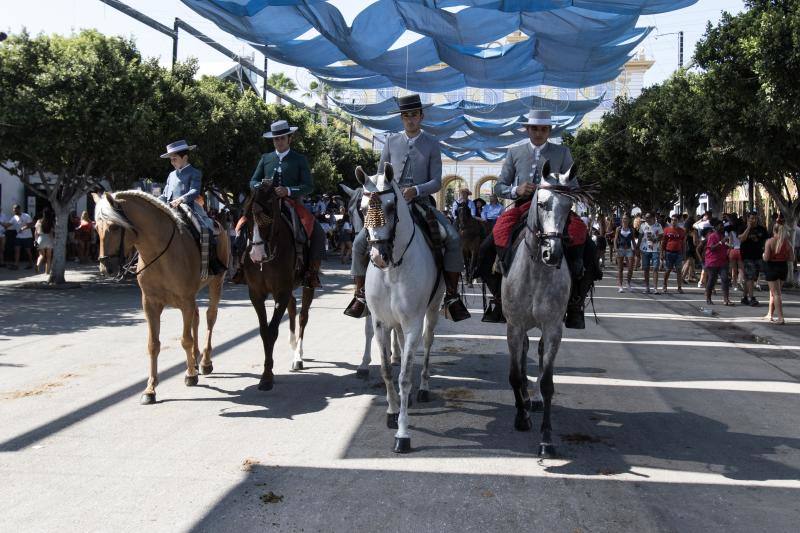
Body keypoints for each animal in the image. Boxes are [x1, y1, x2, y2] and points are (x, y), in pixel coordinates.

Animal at [92, 191, 228, 404]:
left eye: (114, 227)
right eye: (96, 228)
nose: (106, 268)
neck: (160, 254)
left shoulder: (185, 301)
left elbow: (185, 339)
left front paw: (190, 375)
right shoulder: (150, 304)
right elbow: (153, 345)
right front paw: (150, 389)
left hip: (216, 283)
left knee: (210, 318)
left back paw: (204, 362)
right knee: (197, 319)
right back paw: (195, 360)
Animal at [241, 181, 316, 388]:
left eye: (268, 218)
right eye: (247, 218)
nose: (256, 254)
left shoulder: (281, 291)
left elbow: (272, 331)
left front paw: (267, 376)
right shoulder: (256, 294)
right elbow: (263, 330)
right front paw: (266, 374)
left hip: (308, 283)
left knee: (303, 317)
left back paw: (298, 356)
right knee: (292, 308)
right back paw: (292, 344)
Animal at [340, 185, 400, 376]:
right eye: (350, 212)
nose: (368, 249)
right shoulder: (370, 299)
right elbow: (369, 329)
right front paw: (364, 364)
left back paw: (396, 354)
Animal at [356, 163, 444, 454]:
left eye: (392, 206)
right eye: (363, 208)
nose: (377, 256)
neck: (393, 269)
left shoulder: (414, 321)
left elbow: (404, 376)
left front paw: (403, 434)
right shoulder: (380, 322)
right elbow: (385, 369)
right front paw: (393, 412)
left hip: (433, 310)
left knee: (426, 344)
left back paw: (424, 387)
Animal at [504, 163, 584, 458]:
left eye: (569, 206)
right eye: (541, 203)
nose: (553, 253)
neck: (537, 271)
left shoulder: (553, 329)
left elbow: (549, 383)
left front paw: (547, 439)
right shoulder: (514, 326)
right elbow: (515, 375)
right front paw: (521, 417)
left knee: (536, 352)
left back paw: (534, 398)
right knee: (524, 353)